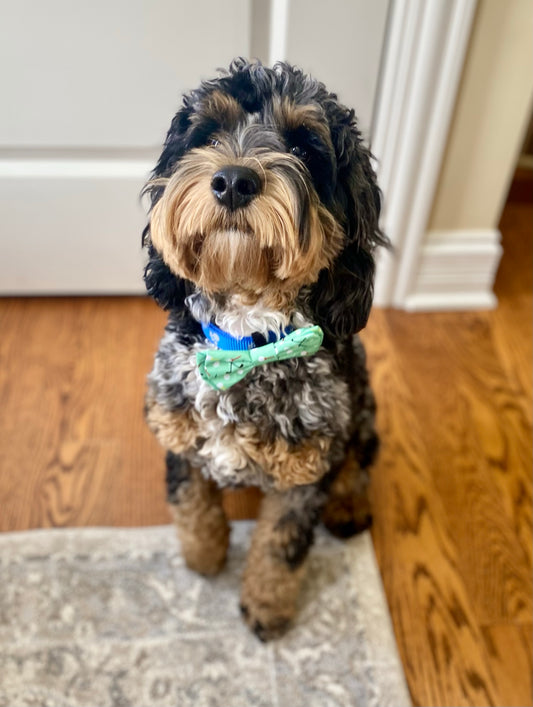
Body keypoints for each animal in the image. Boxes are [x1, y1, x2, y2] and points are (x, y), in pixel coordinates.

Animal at [143, 60, 388, 640]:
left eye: (303, 147)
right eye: (208, 135)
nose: (233, 180)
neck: (247, 342)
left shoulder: (305, 470)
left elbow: (281, 547)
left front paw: (266, 608)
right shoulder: (177, 434)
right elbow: (192, 504)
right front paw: (204, 558)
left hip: (363, 409)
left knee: (358, 462)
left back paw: (349, 505)